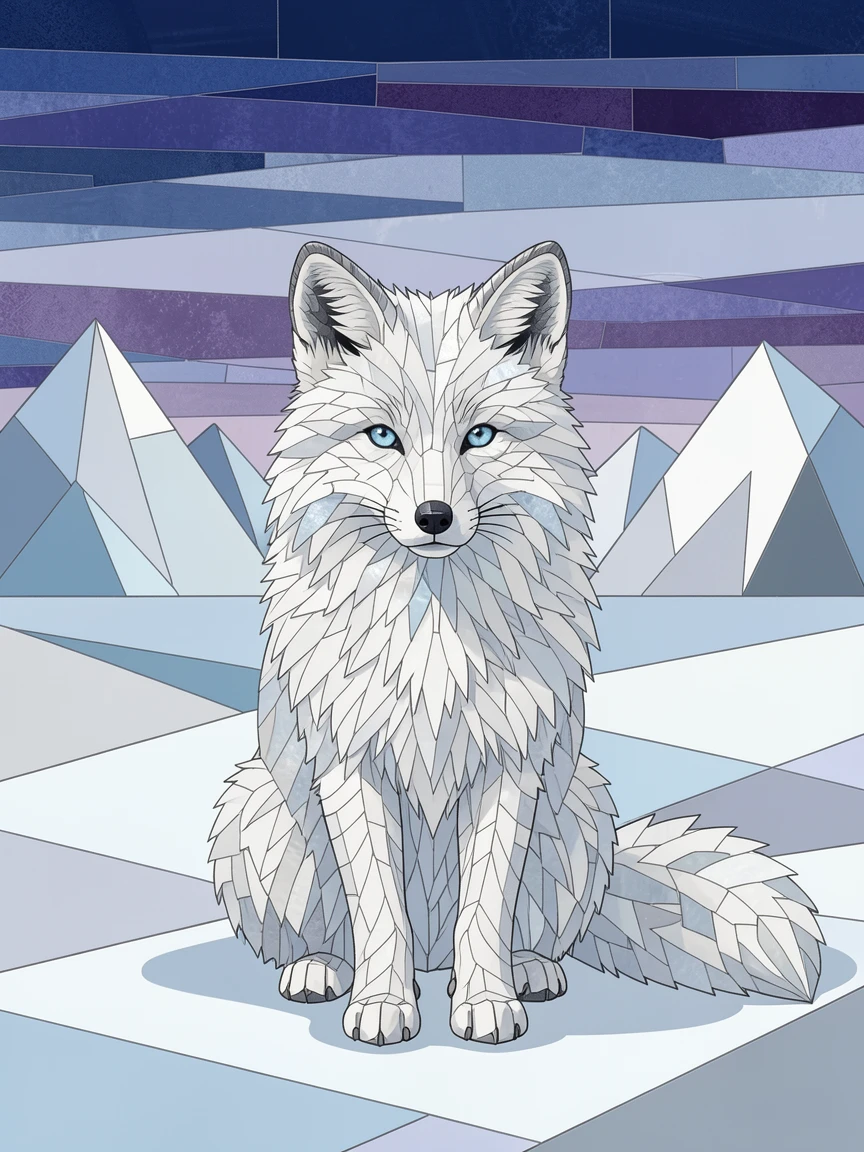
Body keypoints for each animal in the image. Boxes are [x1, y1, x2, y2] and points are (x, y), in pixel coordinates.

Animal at [209, 240, 823, 1046]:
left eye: (479, 436)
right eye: (383, 437)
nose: (433, 516)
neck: (433, 638)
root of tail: (431, 958)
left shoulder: (510, 767)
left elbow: (486, 906)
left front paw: (485, 1003)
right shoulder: (351, 767)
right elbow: (379, 911)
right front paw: (383, 1005)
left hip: (582, 804)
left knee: (523, 932)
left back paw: (526, 970)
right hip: (256, 807)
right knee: (336, 935)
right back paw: (323, 969)